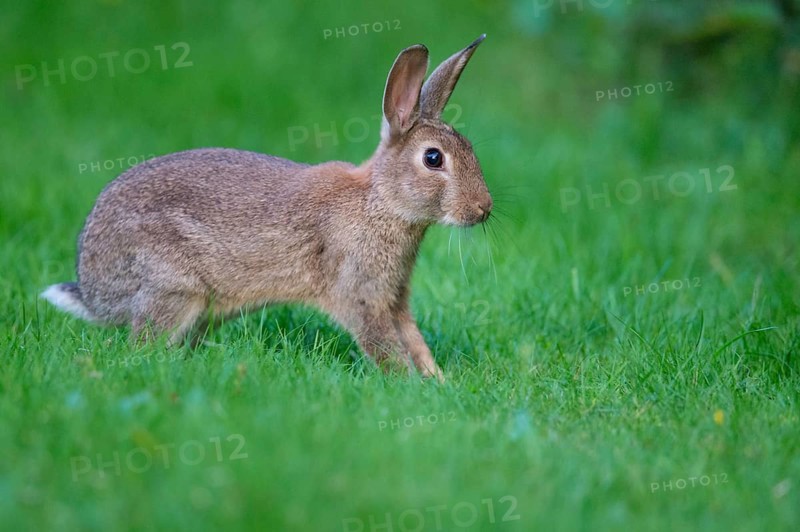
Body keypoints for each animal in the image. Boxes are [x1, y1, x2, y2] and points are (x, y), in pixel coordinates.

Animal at [41, 35, 492, 380]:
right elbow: (384, 345)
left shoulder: (394, 296)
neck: (380, 202)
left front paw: (437, 380)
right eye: (433, 159)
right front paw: (410, 383)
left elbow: (413, 339)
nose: (483, 209)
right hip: (172, 288)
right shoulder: (360, 294)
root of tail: (94, 290)